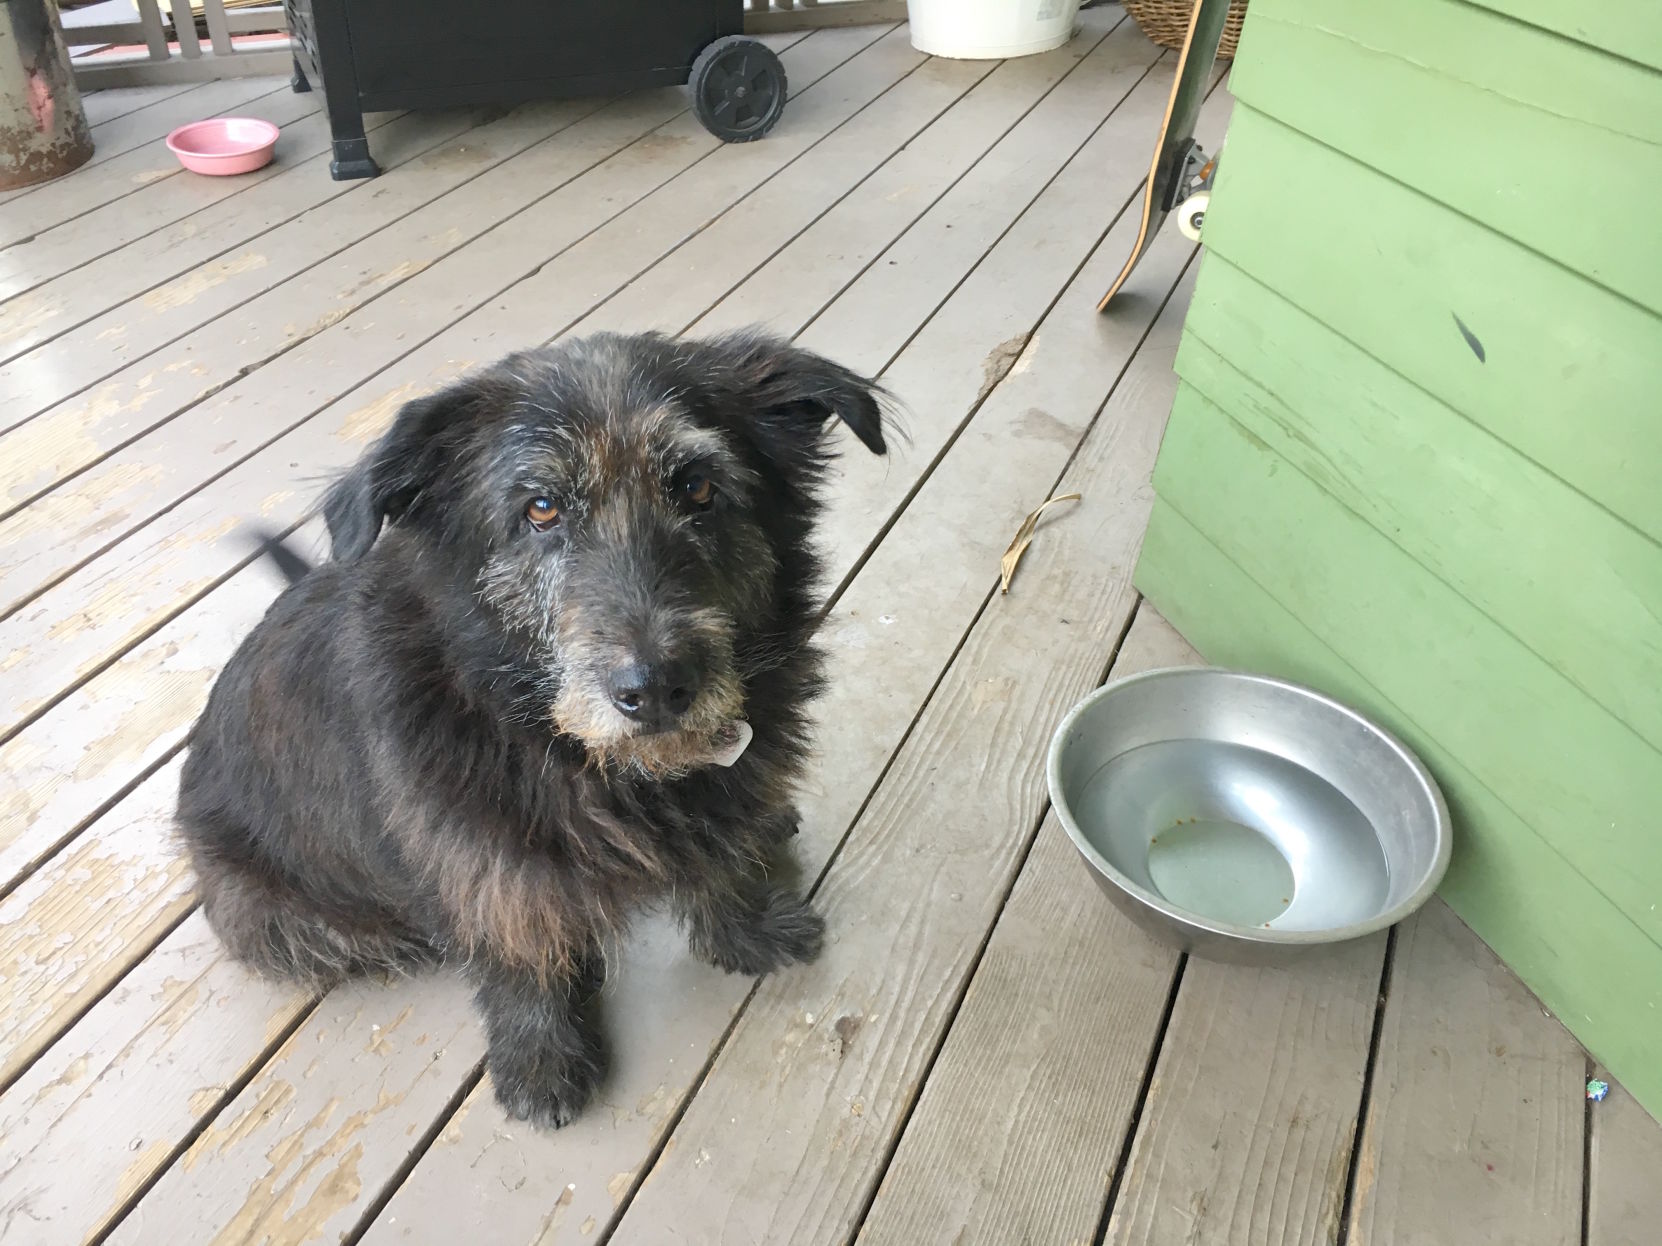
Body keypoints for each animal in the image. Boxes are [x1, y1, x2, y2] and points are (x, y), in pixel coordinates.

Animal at [175, 332, 890, 1129]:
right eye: (541, 508)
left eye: (698, 488)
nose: (656, 690)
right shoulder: (483, 863)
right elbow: (519, 953)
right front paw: (540, 1058)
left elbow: (721, 860)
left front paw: (748, 929)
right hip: (277, 912)